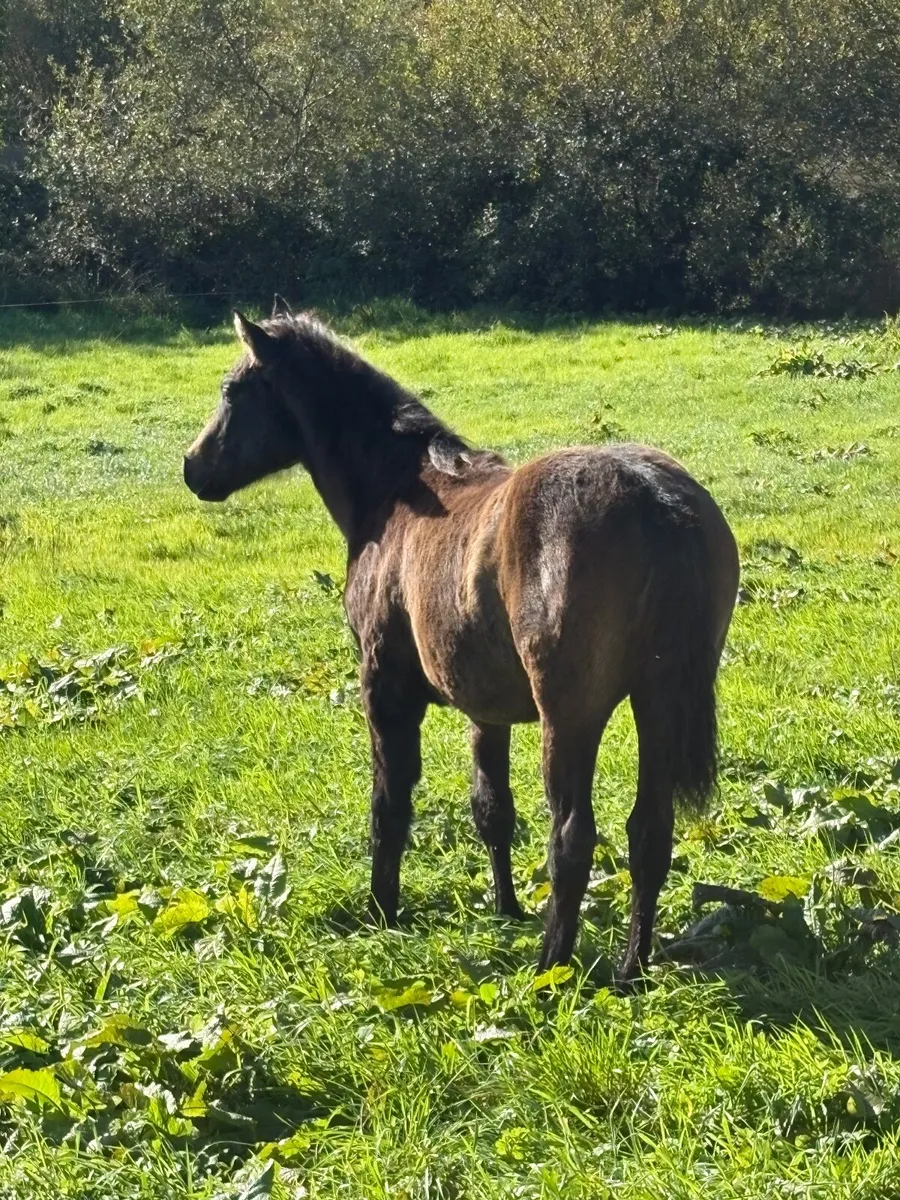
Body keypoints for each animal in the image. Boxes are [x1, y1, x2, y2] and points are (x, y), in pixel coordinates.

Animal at [184, 297, 739, 977]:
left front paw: (382, 911)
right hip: (656, 701)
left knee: (573, 837)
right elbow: (492, 810)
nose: (193, 468)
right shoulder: (487, 708)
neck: (400, 494)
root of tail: (659, 502)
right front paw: (505, 908)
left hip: (572, 716)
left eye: (232, 391)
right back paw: (629, 970)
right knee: (650, 832)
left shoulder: (385, 689)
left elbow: (390, 805)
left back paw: (551, 965)